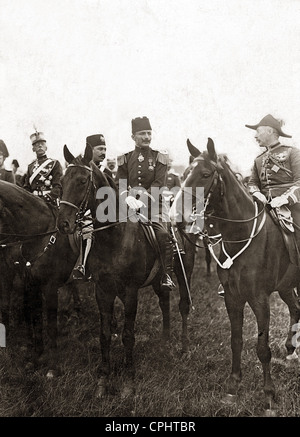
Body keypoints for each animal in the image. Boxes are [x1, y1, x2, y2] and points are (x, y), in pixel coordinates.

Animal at [0, 180, 79, 372]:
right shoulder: (27, 280)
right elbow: (33, 316)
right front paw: (36, 355)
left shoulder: (49, 286)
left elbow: (49, 324)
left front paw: (53, 365)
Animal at [58, 145, 195, 396]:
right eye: (62, 181)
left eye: (82, 181)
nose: (63, 224)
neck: (115, 236)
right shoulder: (102, 290)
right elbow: (104, 334)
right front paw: (103, 377)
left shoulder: (131, 291)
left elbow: (128, 335)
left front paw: (129, 378)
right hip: (158, 279)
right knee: (164, 302)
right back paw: (165, 341)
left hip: (184, 273)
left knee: (183, 306)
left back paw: (183, 346)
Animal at [172, 138, 300, 414]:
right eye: (184, 175)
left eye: (205, 174)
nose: (176, 217)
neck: (240, 236)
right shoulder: (232, 298)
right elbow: (236, 340)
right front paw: (232, 388)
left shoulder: (260, 300)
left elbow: (262, 348)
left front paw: (269, 397)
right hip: (286, 286)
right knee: (296, 308)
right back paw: (291, 351)